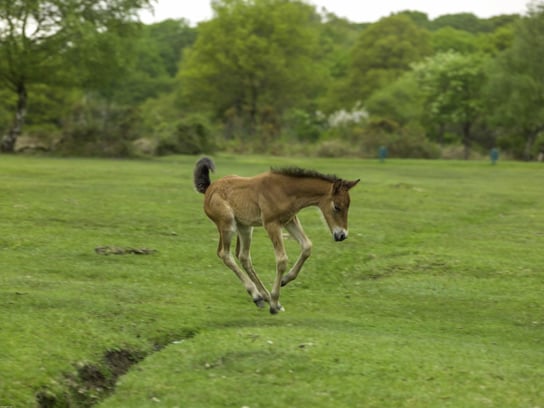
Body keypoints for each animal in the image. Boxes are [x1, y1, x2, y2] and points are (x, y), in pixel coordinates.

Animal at [193, 158, 360, 314]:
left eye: (348, 206)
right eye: (337, 207)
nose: (342, 235)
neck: (286, 191)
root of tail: (208, 189)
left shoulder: (290, 220)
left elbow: (307, 246)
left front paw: (284, 282)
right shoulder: (271, 224)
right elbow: (281, 260)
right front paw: (274, 302)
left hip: (245, 227)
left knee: (243, 256)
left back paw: (263, 297)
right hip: (227, 225)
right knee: (224, 254)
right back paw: (259, 296)